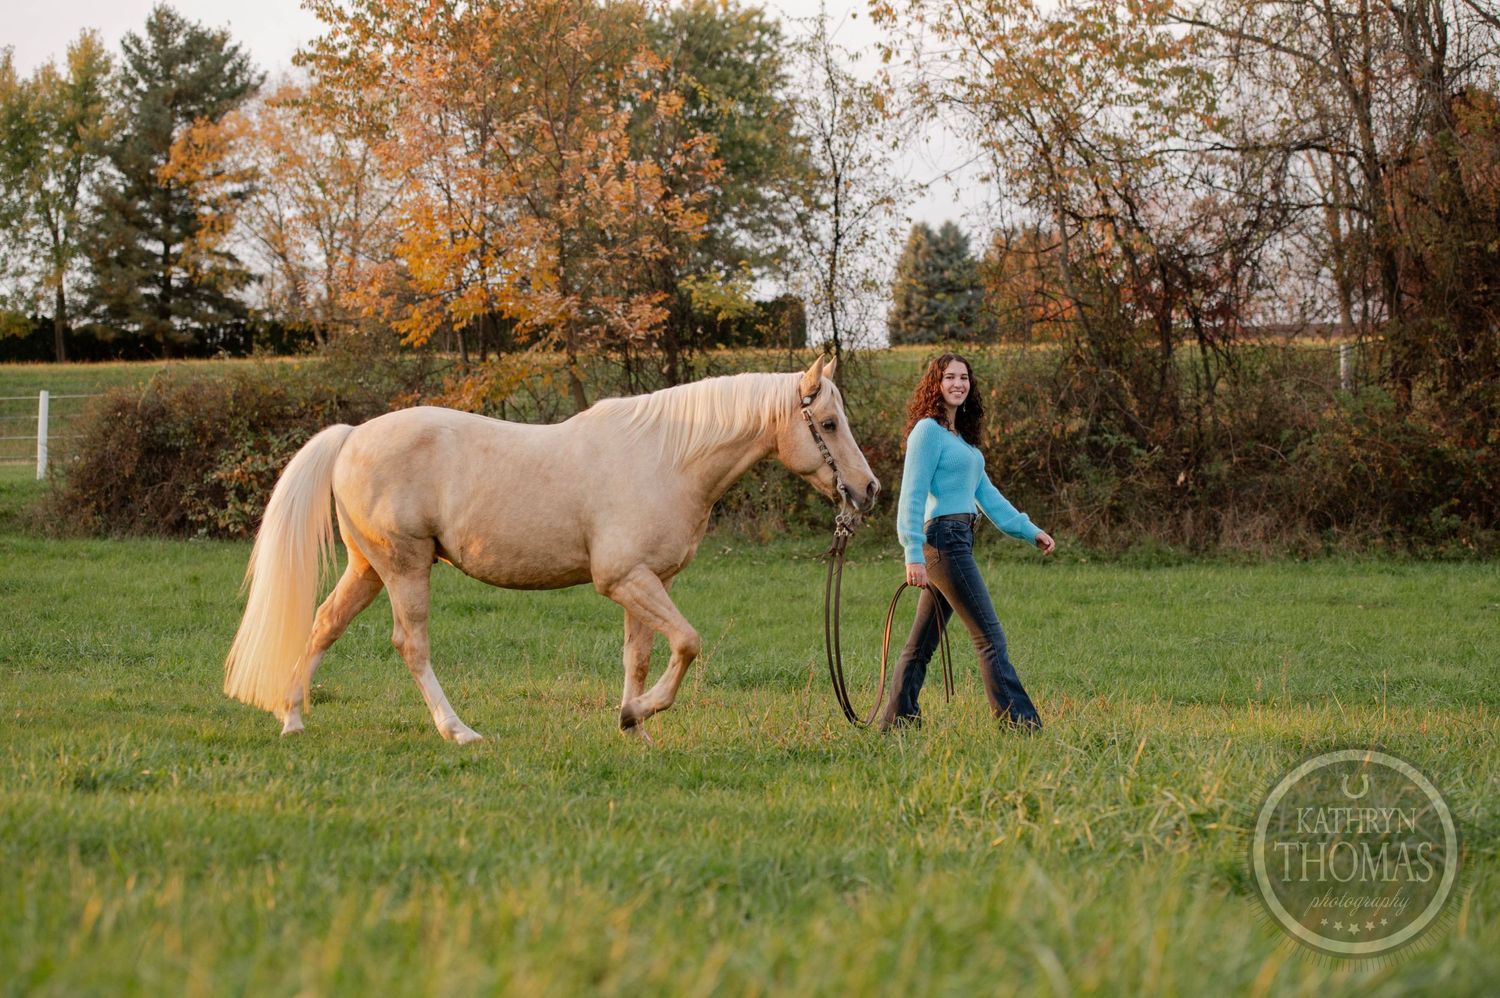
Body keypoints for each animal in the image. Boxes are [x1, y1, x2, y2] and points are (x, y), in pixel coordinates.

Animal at [223, 357, 879, 743]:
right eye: (828, 422)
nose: (868, 490)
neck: (667, 458)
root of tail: (353, 435)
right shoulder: (624, 578)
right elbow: (688, 644)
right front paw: (640, 715)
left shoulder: (647, 582)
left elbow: (639, 658)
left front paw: (632, 725)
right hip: (404, 566)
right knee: (411, 646)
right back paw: (457, 731)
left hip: (368, 568)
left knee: (322, 626)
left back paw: (293, 719)